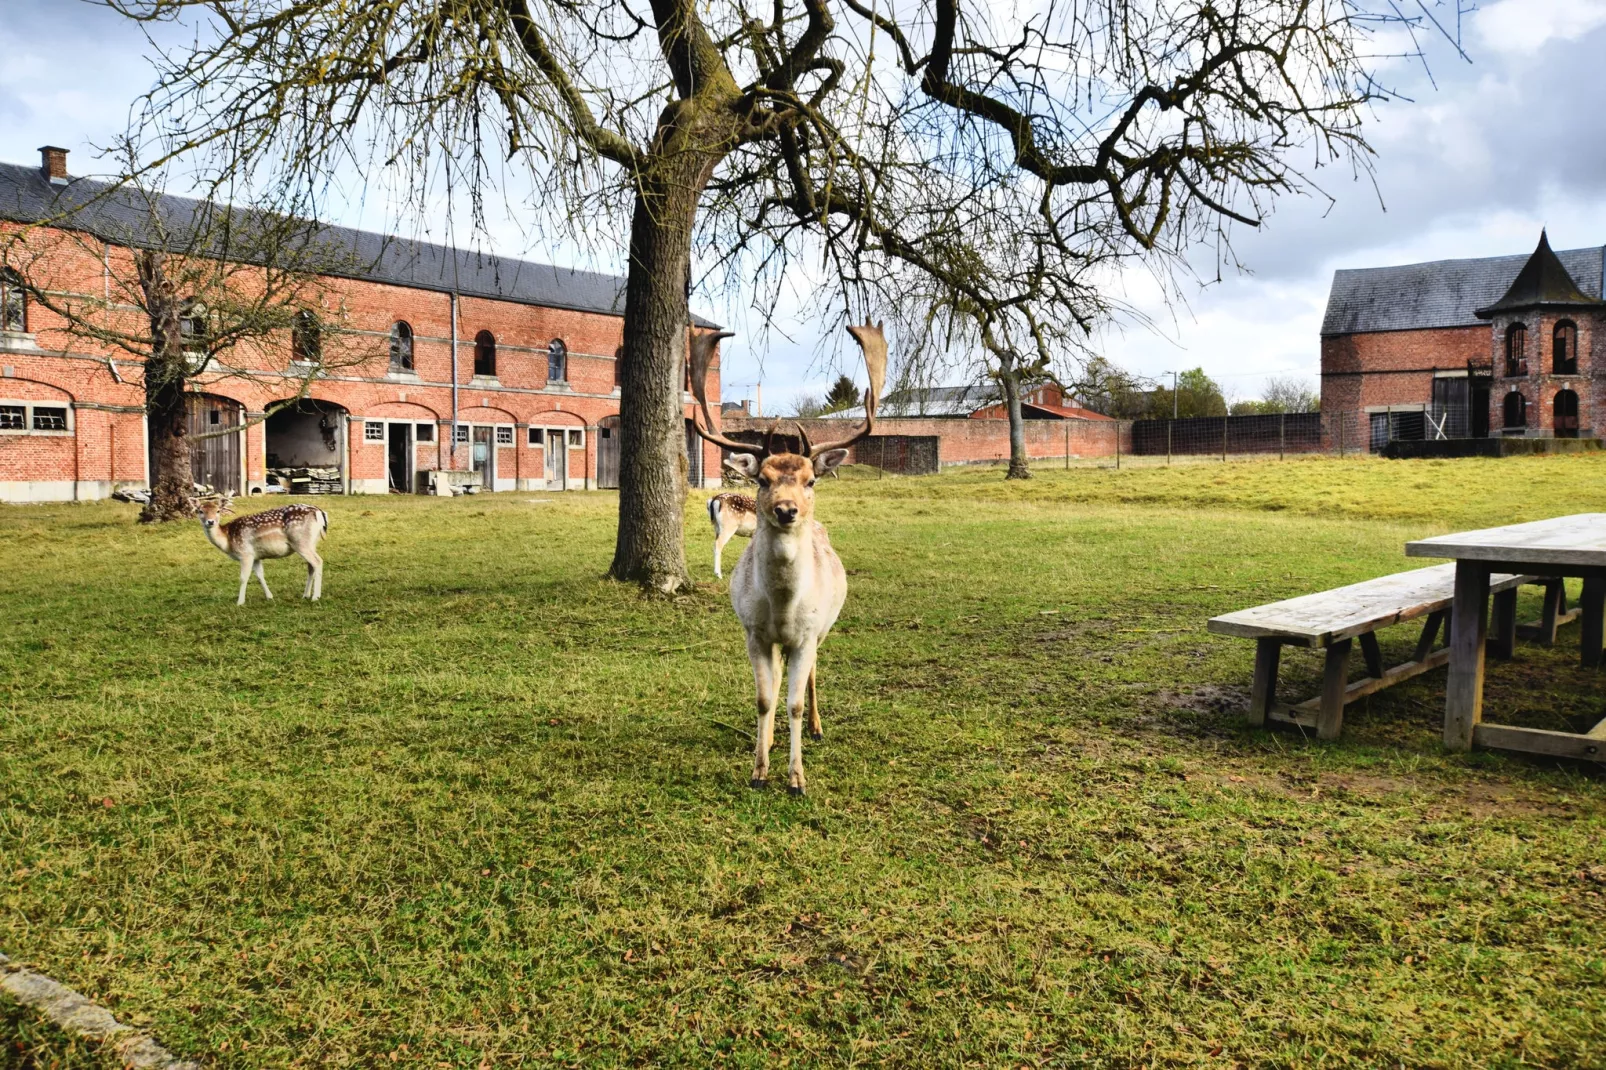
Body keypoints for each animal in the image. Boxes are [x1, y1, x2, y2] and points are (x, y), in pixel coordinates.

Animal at [193, 494, 329, 604]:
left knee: (318, 561)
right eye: (200, 511)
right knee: (311, 566)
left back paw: (315, 597)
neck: (228, 539)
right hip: (311, 542)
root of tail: (319, 512)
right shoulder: (256, 556)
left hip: (300, 542)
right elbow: (260, 575)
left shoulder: (245, 553)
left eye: (218, 511)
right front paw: (269, 597)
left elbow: (243, 577)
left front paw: (240, 602)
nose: (210, 522)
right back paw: (305, 595)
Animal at [687, 322, 892, 790]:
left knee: (812, 676)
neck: (782, 607)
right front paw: (759, 770)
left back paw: (816, 728)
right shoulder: (754, 632)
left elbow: (794, 702)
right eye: (762, 479)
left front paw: (796, 779)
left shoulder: (807, 634)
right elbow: (765, 698)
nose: (786, 509)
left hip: (823, 630)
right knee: (779, 681)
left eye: (811, 479)